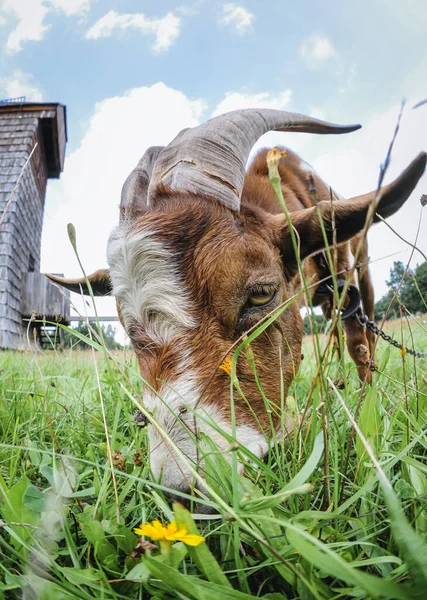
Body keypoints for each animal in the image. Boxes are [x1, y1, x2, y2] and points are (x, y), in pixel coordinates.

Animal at [47, 109, 427, 502]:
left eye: (261, 293)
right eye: (126, 324)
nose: (182, 489)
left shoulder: (344, 279)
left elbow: (357, 342)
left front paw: (368, 404)